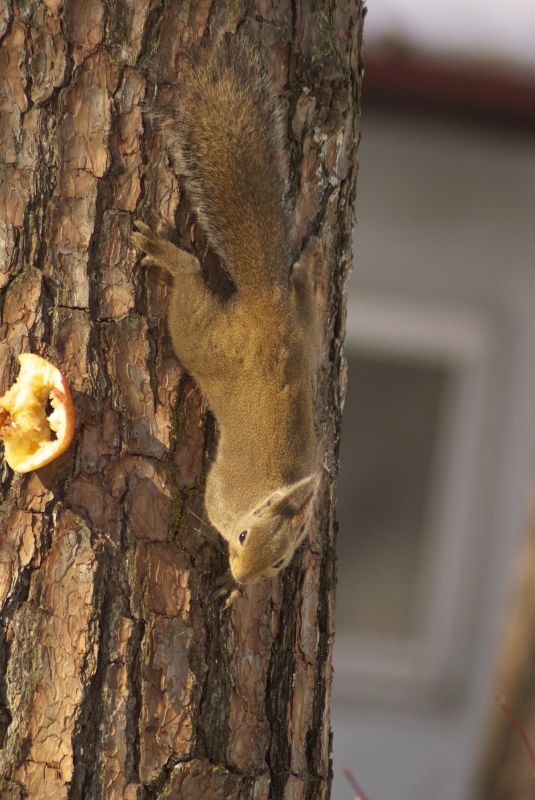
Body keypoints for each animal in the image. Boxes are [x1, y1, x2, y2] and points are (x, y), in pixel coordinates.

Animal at [133, 36, 322, 588]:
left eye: (279, 562)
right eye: (240, 537)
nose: (242, 579)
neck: (256, 499)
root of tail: (268, 308)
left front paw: (233, 597)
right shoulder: (219, 498)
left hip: (307, 334)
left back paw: (307, 266)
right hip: (202, 338)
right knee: (193, 279)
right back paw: (173, 257)